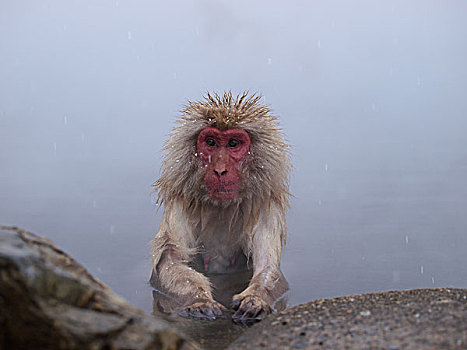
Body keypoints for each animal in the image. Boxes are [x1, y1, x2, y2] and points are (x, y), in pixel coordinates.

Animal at [154, 91, 290, 322]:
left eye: (233, 143)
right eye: (211, 142)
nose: (219, 170)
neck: (222, 205)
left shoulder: (266, 206)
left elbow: (268, 266)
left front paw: (254, 299)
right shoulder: (180, 200)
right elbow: (171, 259)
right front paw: (199, 300)